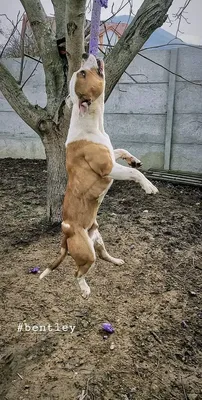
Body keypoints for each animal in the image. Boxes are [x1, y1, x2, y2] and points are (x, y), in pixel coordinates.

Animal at [39, 54, 158, 296]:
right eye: (83, 74)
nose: (86, 54)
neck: (90, 122)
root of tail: (65, 234)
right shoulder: (107, 168)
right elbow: (132, 173)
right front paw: (148, 186)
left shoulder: (111, 155)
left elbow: (122, 151)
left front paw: (134, 159)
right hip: (86, 252)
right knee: (78, 272)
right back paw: (84, 290)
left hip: (98, 238)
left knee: (103, 256)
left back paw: (116, 260)